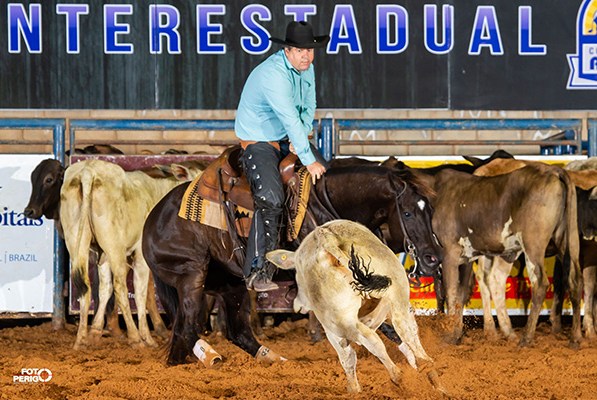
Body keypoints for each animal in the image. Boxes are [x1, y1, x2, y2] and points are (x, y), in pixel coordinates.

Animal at [58, 159, 203, 349]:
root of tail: (88, 171)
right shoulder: (139, 255)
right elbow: (141, 292)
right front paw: (147, 337)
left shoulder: (103, 255)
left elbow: (104, 289)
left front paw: (94, 333)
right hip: (114, 247)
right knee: (120, 288)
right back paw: (135, 337)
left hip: (77, 243)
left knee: (86, 287)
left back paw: (80, 340)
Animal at [141, 164, 442, 365]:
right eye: (407, 212)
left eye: (429, 209)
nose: (433, 258)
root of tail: (154, 218)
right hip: (191, 275)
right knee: (186, 327)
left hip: (229, 283)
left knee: (236, 332)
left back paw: (275, 360)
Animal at [266, 220, 446, 395]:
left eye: (296, 275)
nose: (297, 305)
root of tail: (325, 237)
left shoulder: (335, 332)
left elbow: (348, 358)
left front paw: (354, 389)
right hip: (397, 299)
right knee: (407, 332)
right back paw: (429, 370)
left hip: (345, 320)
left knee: (376, 341)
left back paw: (400, 376)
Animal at [429, 163, 581, 347]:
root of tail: (552, 170)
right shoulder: (466, 257)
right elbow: (460, 292)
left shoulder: (449, 254)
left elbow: (451, 292)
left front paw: (450, 336)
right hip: (568, 240)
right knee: (574, 280)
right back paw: (575, 337)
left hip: (533, 243)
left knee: (540, 283)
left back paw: (526, 337)